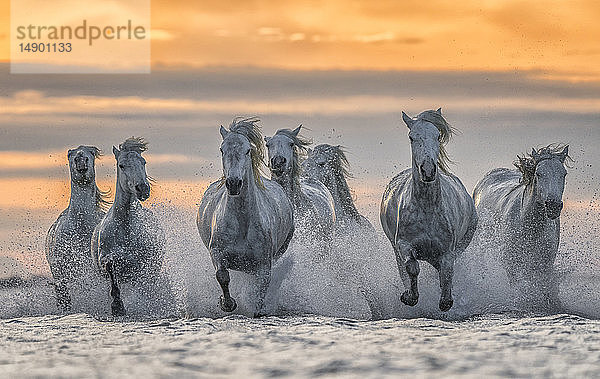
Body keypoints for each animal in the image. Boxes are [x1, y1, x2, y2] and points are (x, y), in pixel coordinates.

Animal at [45, 145, 110, 312]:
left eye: (91, 153)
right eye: (70, 155)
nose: (81, 161)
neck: (81, 227)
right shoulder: (60, 272)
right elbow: (65, 300)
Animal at [90, 138, 164, 316]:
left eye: (143, 162)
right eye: (122, 165)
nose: (143, 189)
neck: (125, 228)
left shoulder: (141, 264)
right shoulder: (105, 260)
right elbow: (111, 268)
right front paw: (117, 306)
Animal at [198, 117, 294, 316]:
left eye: (248, 150)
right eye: (222, 149)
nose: (234, 183)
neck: (242, 224)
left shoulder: (264, 263)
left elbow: (261, 286)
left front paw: (257, 308)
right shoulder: (216, 252)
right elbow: (222, 276)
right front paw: (227, 304)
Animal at [380, 109, 478, 312]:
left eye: (437, 136)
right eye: (411, 137)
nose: (428, 170)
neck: (426, 210)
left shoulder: (448, 251)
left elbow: (446, 272)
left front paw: (446, 300)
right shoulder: (403, 244)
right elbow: (412, 268)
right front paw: (409, 297)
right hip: (395, 248)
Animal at [474, 144, 568, 310]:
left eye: (563, 174)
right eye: (539, 173)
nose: (553, 206)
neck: (529, 227)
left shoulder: (544, 263)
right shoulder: (511, 264)